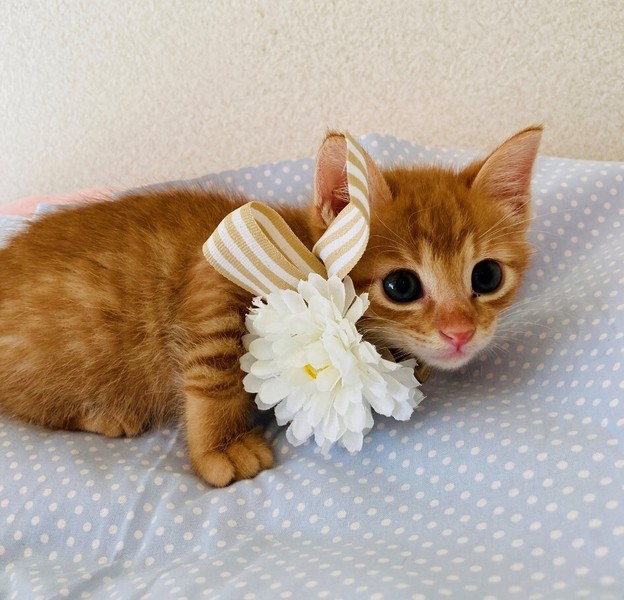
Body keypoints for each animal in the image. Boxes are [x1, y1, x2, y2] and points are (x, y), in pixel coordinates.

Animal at [0, 126, 542, 487]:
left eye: (487, 276)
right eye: (401, 286)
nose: (460, 332)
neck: (297, 247)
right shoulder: (215, 276)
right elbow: (214, 372)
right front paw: (219, 449)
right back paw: (107, 414)